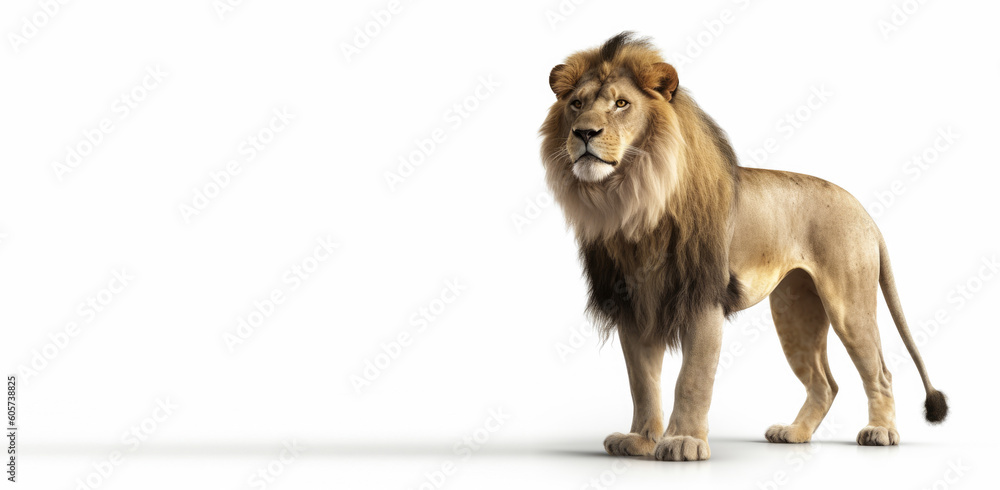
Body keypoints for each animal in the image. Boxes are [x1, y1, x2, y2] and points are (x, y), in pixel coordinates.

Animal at [539, 32, 948, 461]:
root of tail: (864, 211)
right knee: (825, 383)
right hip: (795, 311)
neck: (634, 201)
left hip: (849, 305)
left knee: (880, 371)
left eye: (621, 104)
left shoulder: (703, 297)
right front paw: (641, 440)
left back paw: (881, 431)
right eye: (577, 104)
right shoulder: (633, 306)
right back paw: (794, 433)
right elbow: (642, 383)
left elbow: (692, 378)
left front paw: (684, 442)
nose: (584, 133)